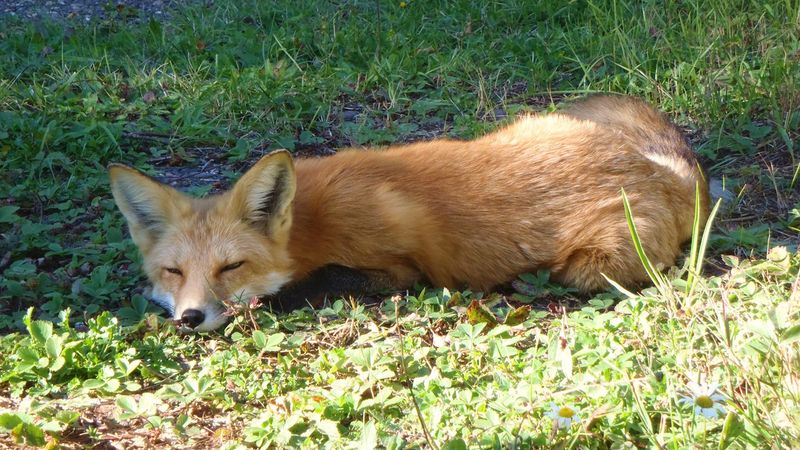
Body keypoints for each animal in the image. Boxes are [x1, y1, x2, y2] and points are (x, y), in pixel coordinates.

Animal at [111, 95, 708, 330]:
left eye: (231, 267)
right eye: (174, 271)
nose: (190, 317)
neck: (312, 222)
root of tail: (662, 172)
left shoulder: (398, 270)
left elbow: (312, 283)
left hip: (594, 266)